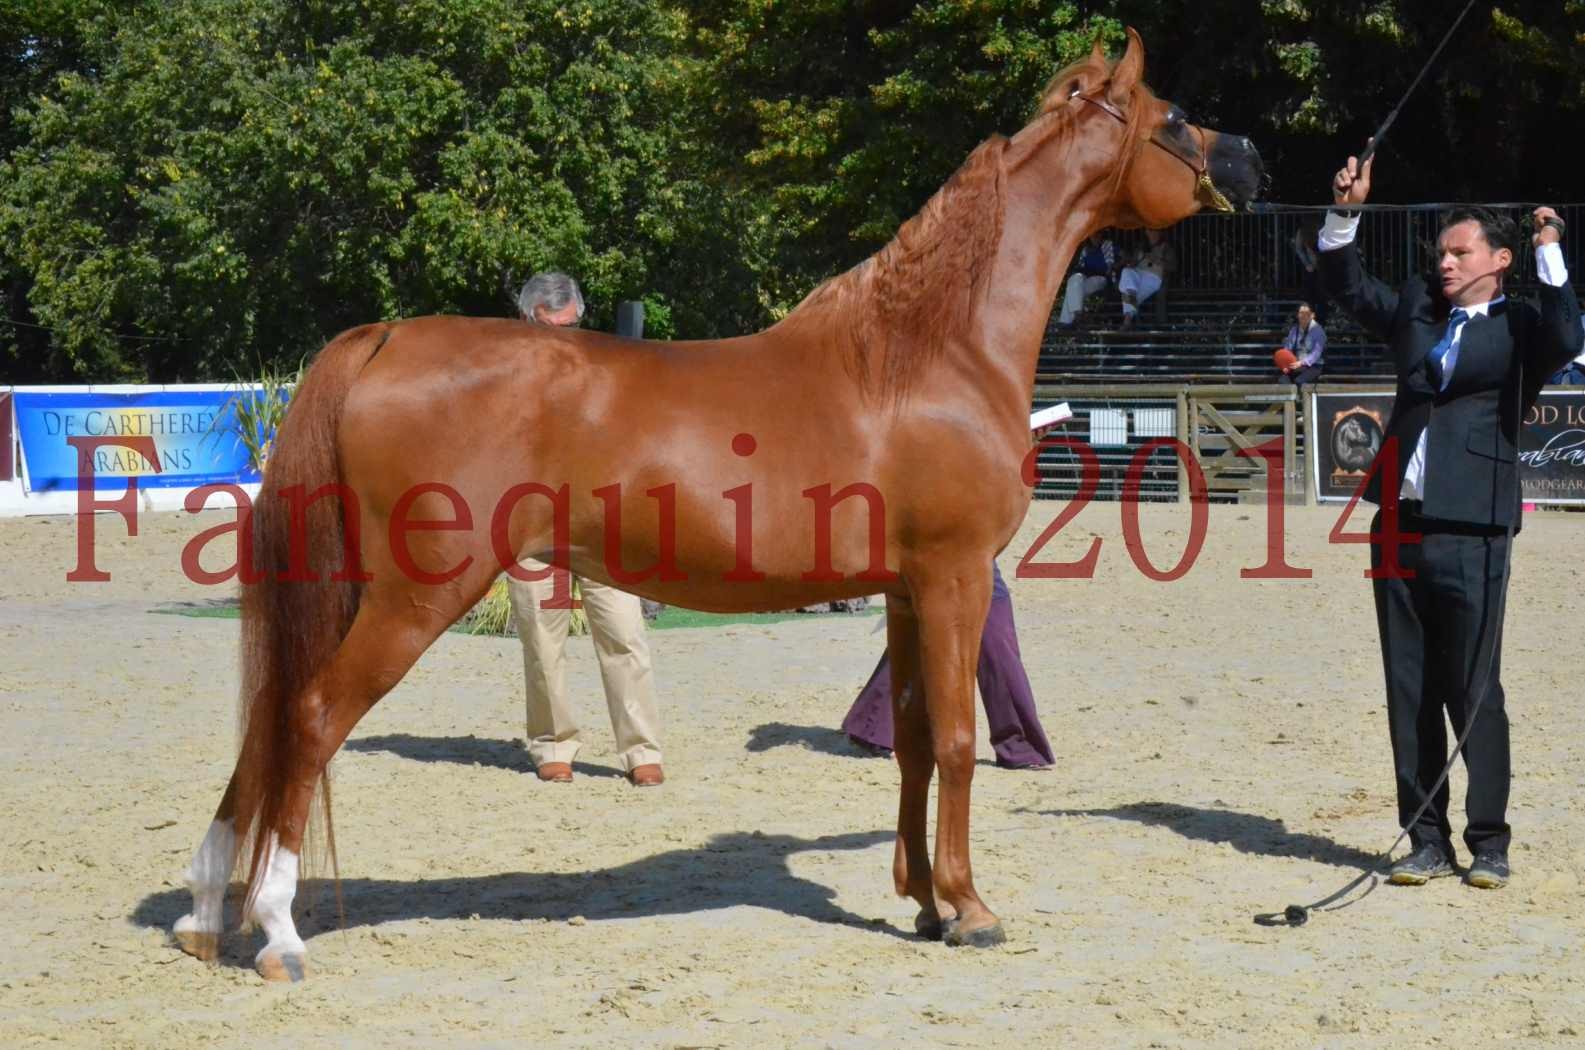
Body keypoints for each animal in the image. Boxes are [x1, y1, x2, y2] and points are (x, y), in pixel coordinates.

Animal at [176, 32, 1261, 989]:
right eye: (1174, 116)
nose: (1249, 162)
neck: (926, 354)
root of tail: (382, 338)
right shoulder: (953, 576)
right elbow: (958, 741)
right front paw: (968, 908)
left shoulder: (905, 592)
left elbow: (912, 744)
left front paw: (918, 902)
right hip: (416, 595)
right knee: (311, 716)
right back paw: (276, 931)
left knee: (270, 717)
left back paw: (203, 915)